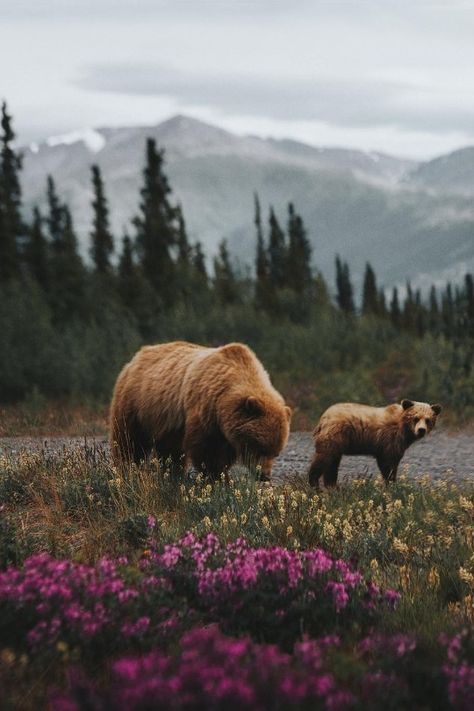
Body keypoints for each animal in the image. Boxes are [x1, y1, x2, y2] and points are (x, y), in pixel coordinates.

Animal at [109, 342, 290, 482]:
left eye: (276, 452)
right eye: (260, 447)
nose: (265, 476)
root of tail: (136, 356)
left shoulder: (226, 428)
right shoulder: (205, 410)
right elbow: (207, 450)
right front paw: (216, 477)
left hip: (167, 420)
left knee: (169, 450)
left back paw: (172, 474)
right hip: (136, 404)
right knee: (129, 440)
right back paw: (126, 468)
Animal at [310, 398, 442, 486]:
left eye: (428, 420)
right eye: (416, 418)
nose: (421, 430)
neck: (404, 429)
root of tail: (323, 417)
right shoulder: (390, 439)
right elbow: (388, 463)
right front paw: (391, 482)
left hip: (338, 441)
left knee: (332, 463)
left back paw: (331, 485)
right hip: (335, 434)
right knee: (324, 458)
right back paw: (314, 483)